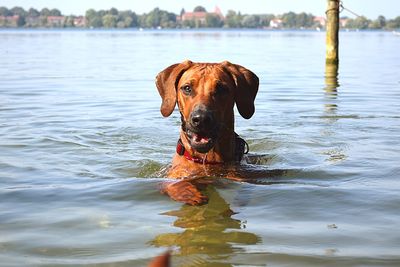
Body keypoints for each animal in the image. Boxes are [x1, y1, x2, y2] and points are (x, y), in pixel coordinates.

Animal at [155, 60, 260, 206]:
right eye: (187, 88)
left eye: (221, 89)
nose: (201, 119)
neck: (207, 160)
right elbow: (173, 184)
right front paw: (188, 192)